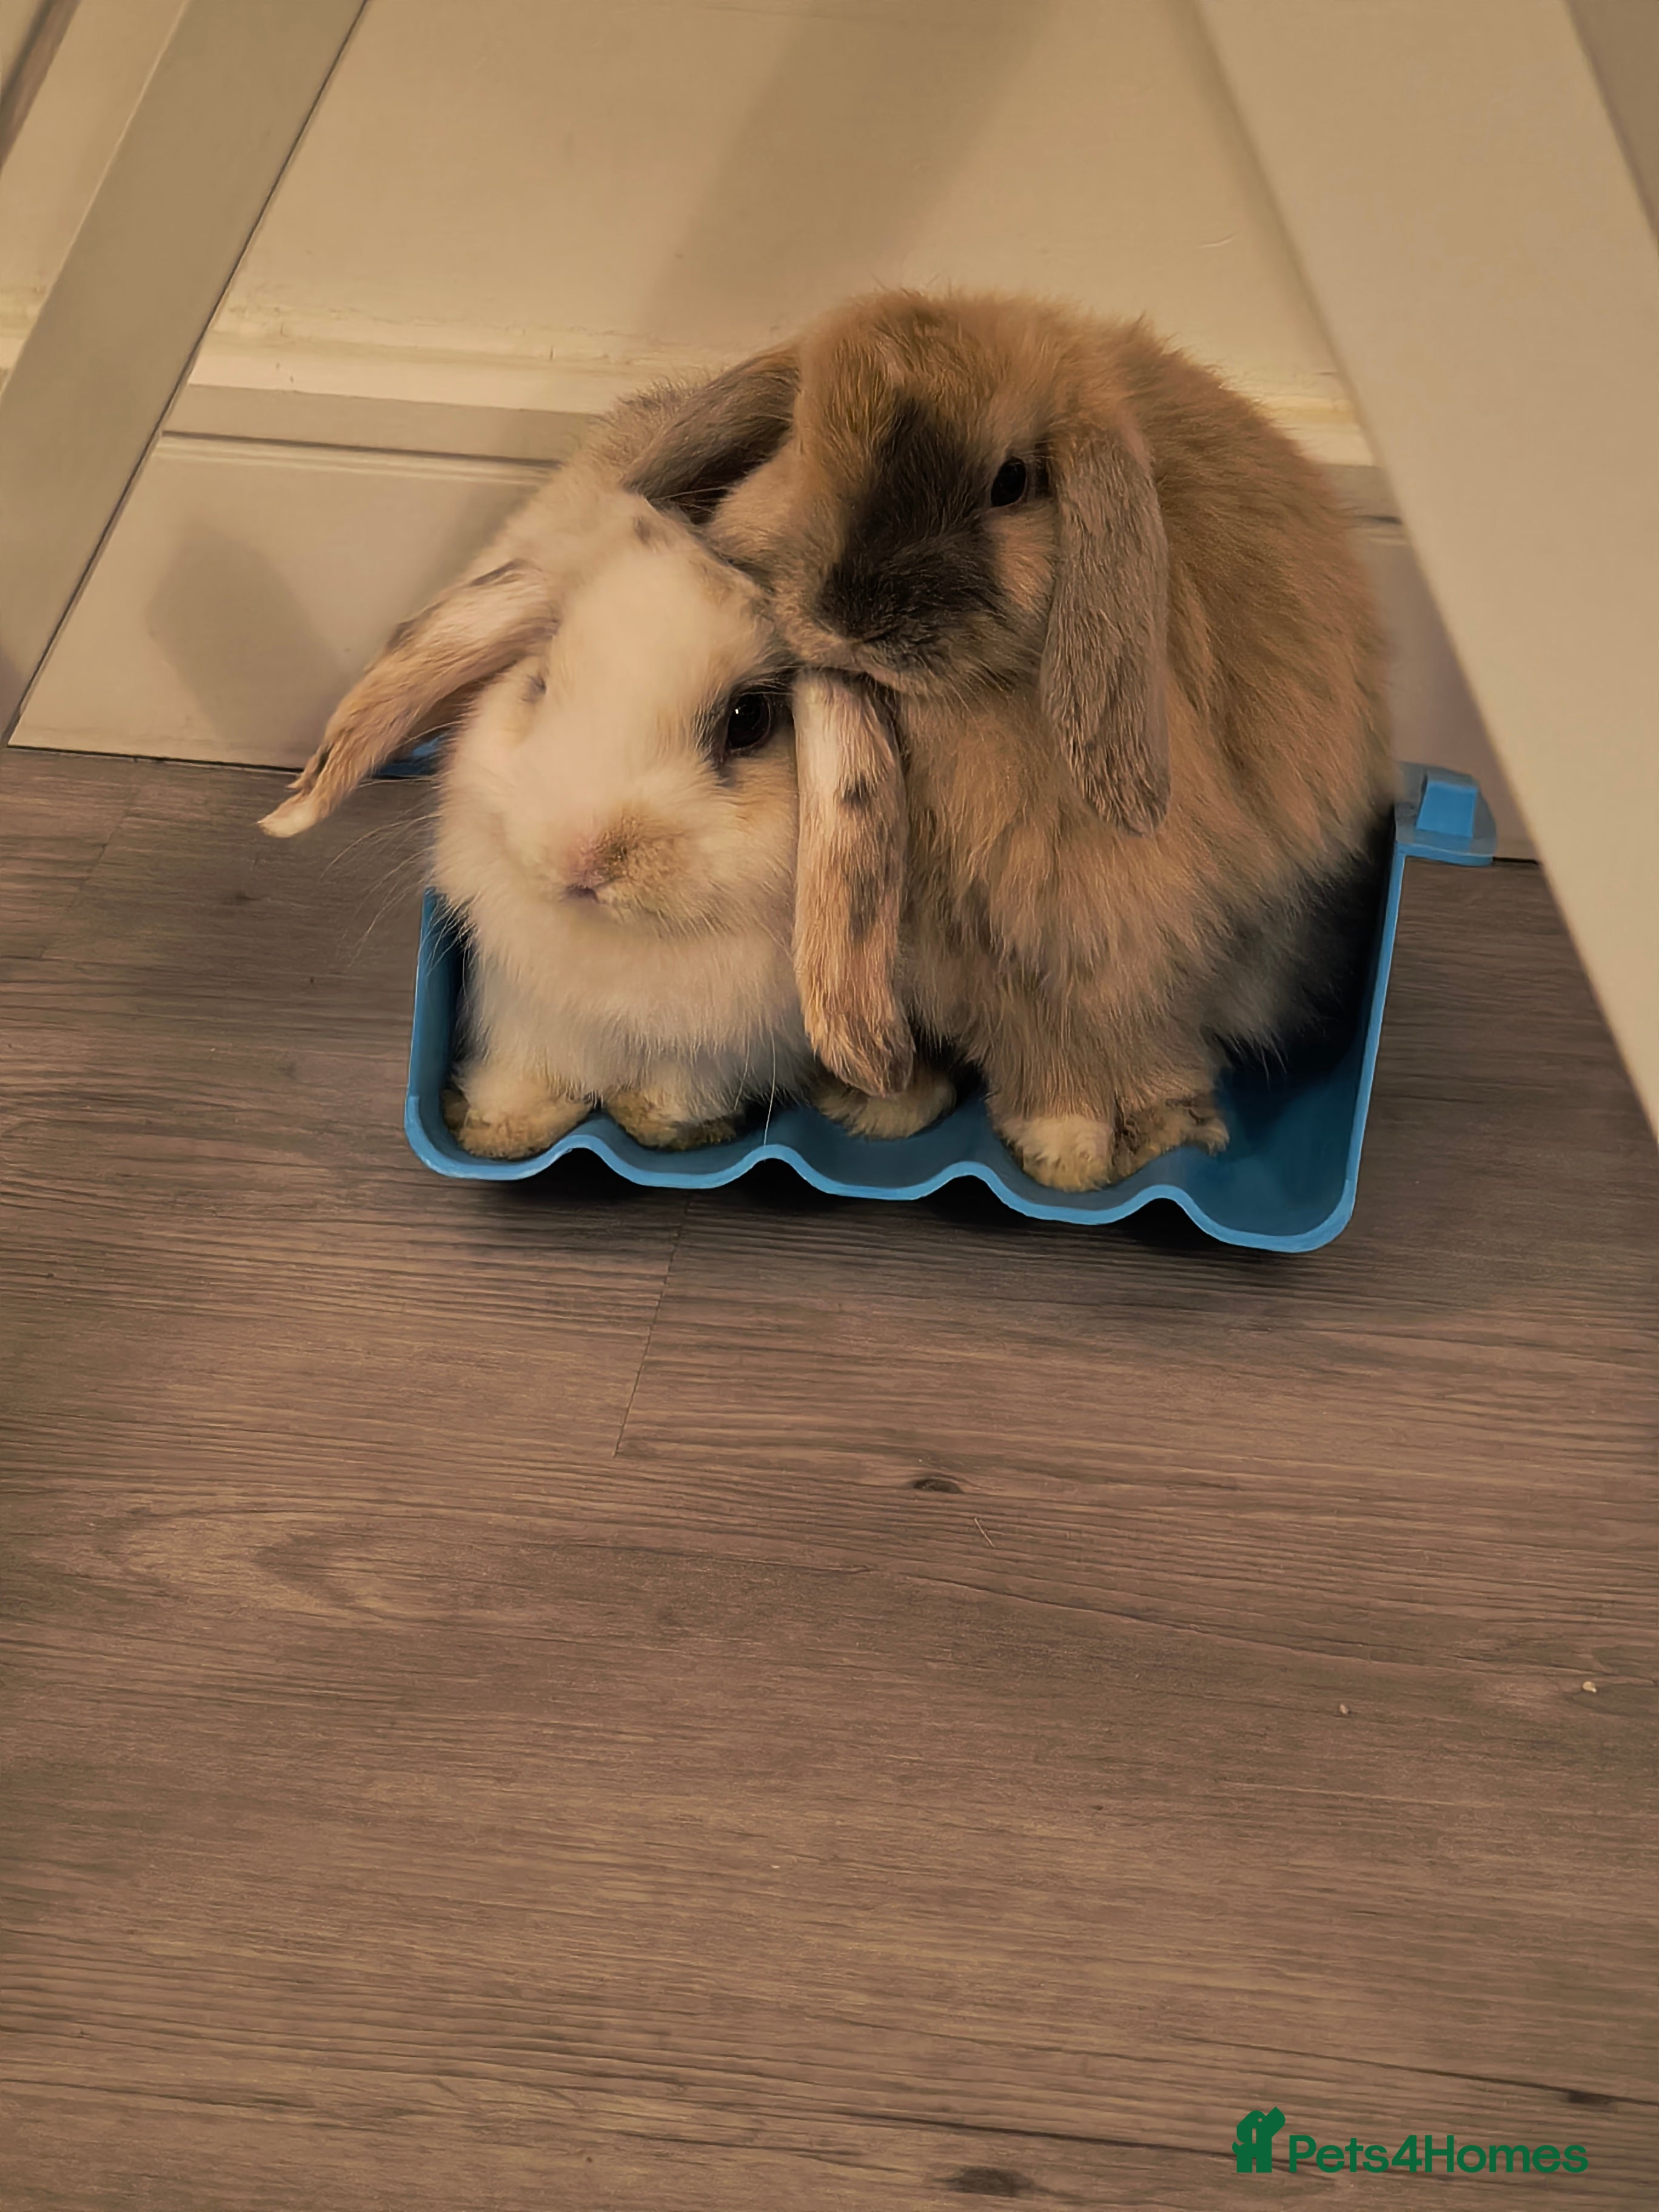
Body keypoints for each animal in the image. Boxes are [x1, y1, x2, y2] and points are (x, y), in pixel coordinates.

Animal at [259, 463, 921, 1158]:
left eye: (749, 720)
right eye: (540, 683)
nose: (585, 855)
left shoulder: (712, 1053)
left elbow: (672, 1092)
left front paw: (663, 1125)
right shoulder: (522, 1014)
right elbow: (524, 1074)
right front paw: (499, 1132)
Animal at [613, 290, 1396, 1189]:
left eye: (1011, 482)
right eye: (800, 444)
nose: (852, 616)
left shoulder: (1104, 947)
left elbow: (1097, 1042)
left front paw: (1072, 1149)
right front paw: (886, 1106)